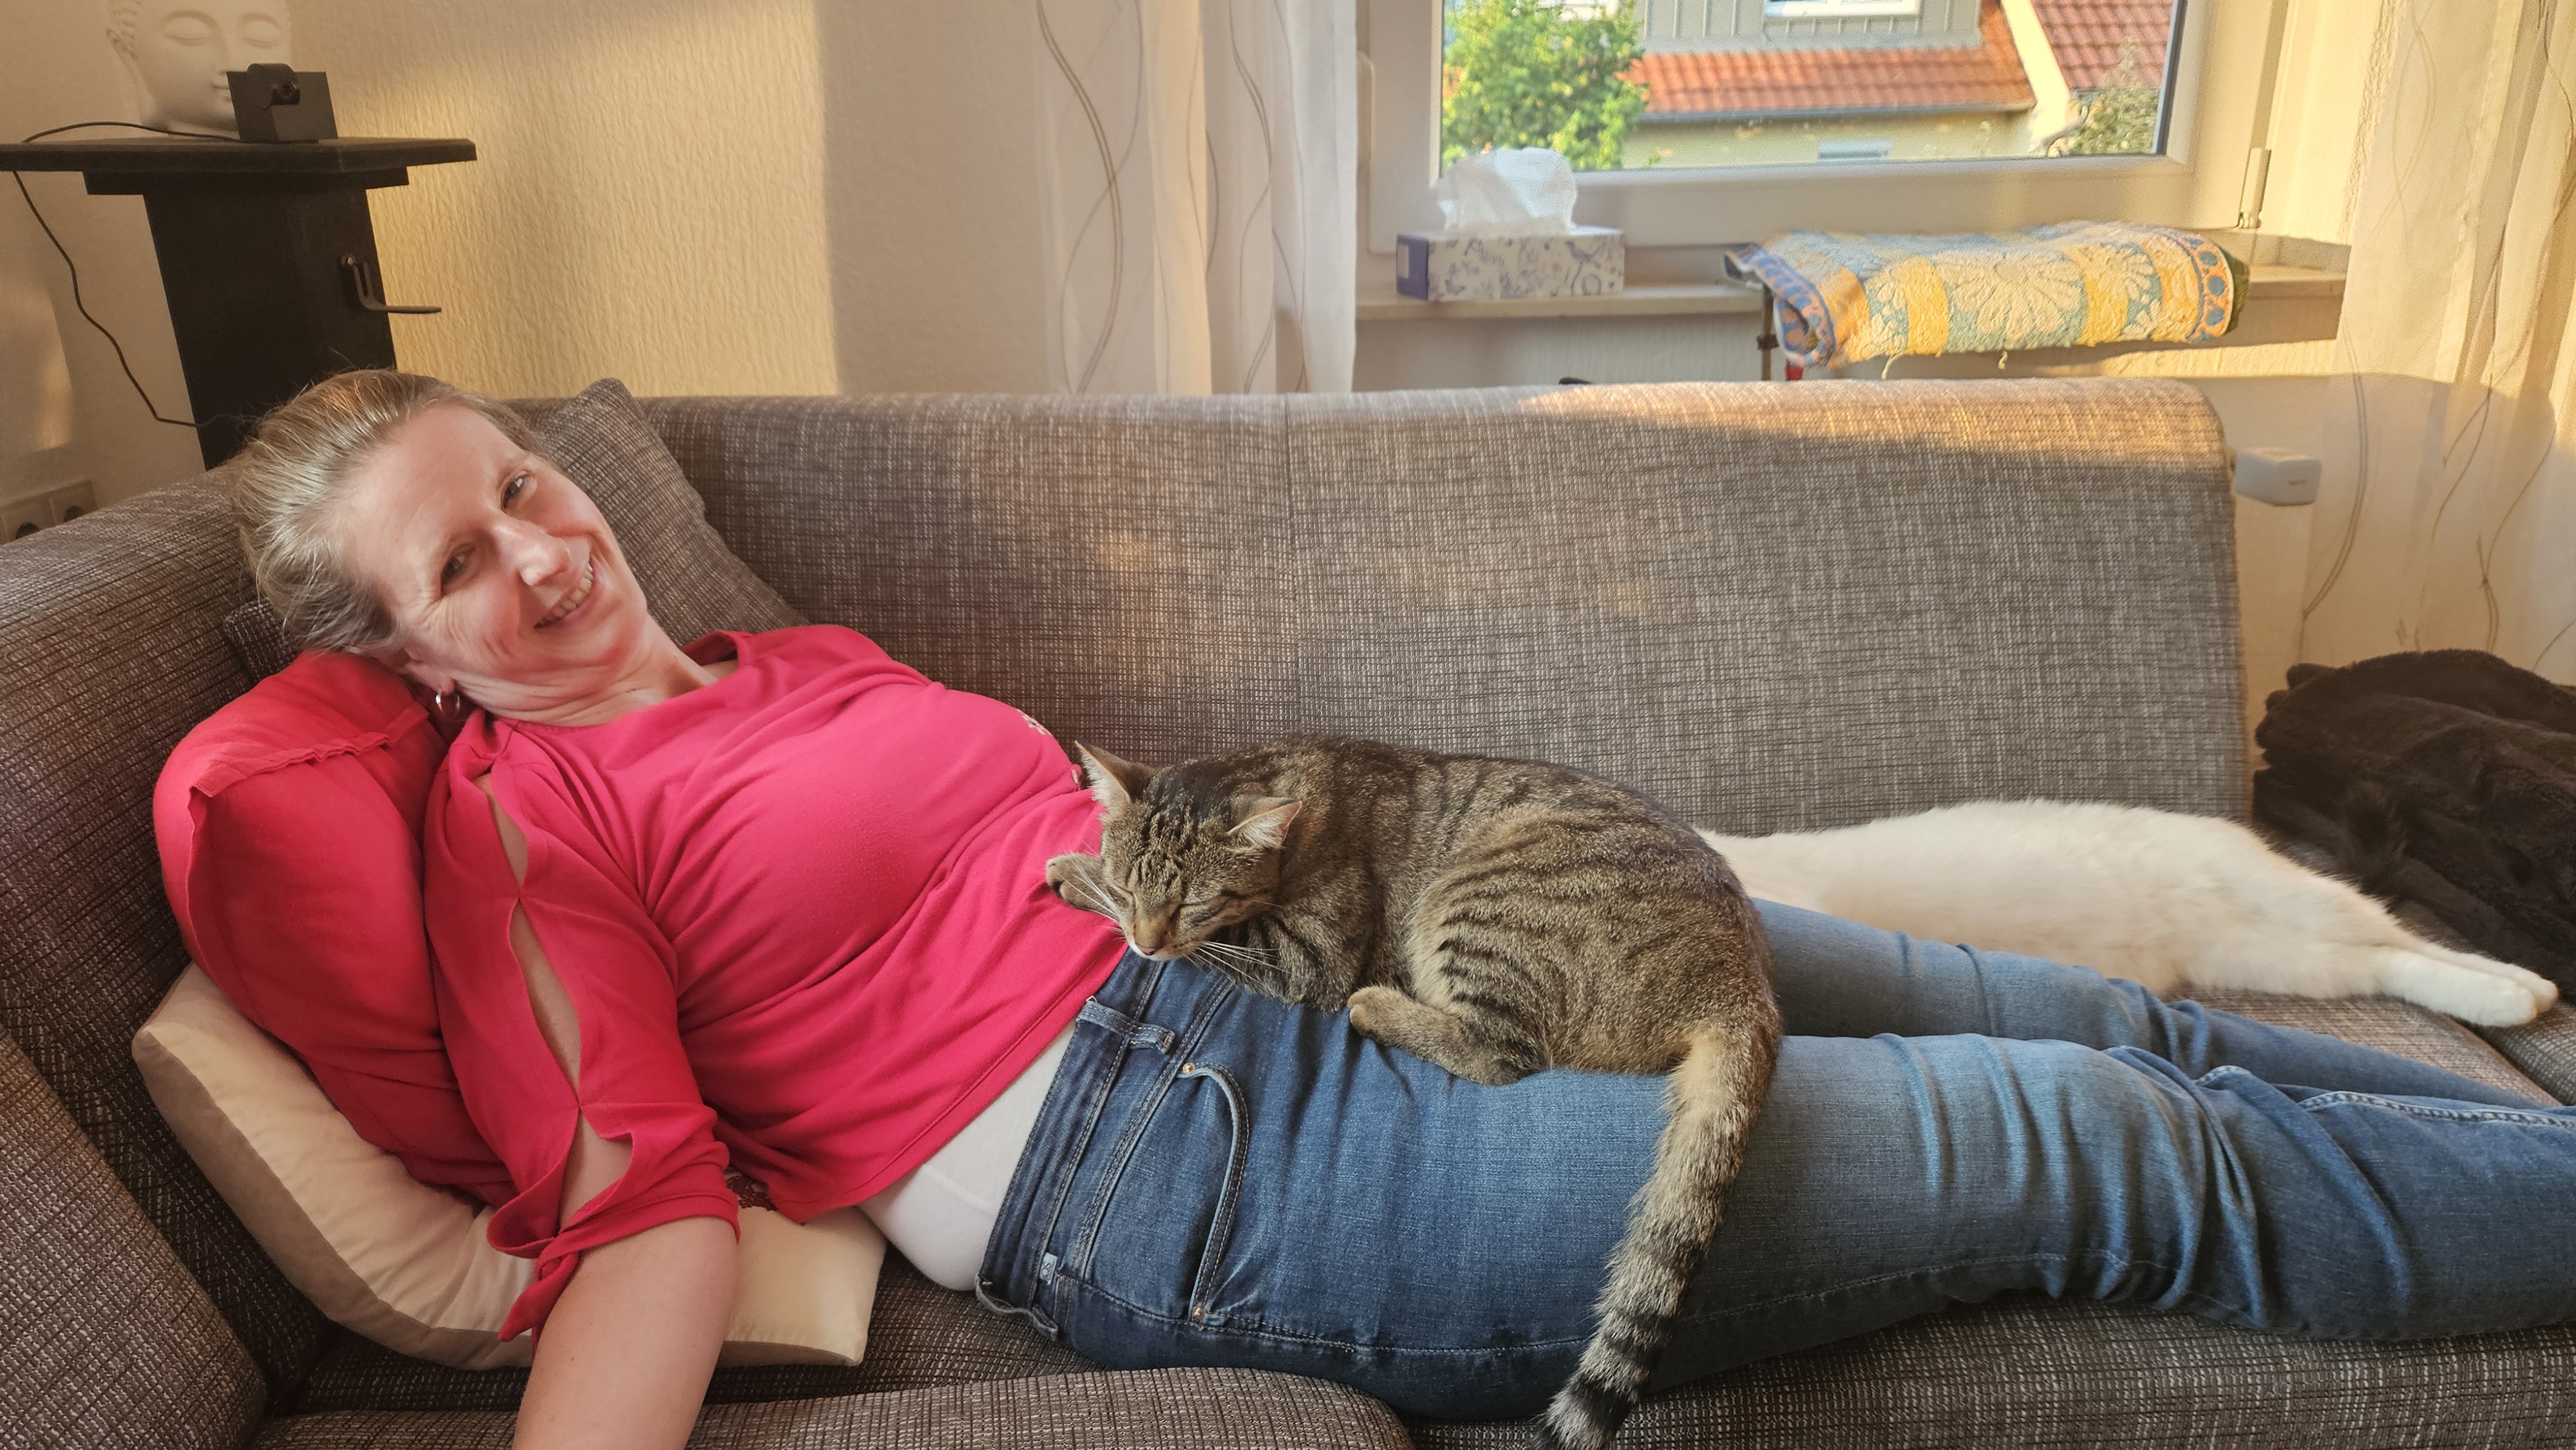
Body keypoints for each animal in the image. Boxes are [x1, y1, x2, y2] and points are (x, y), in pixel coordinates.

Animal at [1045, 735, 1780, 1450]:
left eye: (1194, 902)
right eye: (1130, 886)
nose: (1144, 944)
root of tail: (1745, 992)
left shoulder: (1305, 955)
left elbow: (1222, 943)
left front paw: (1075, 875)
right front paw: (1086, 876)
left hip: (1479, 902)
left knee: (1499, 1052)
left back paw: (1378, 1005)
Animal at [1699, 799, 2559, 1026]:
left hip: (2291, 896)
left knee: (2395, 927)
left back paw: (2525, 984)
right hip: (2283, 960)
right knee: (2388, 961)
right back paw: (2513, 996)